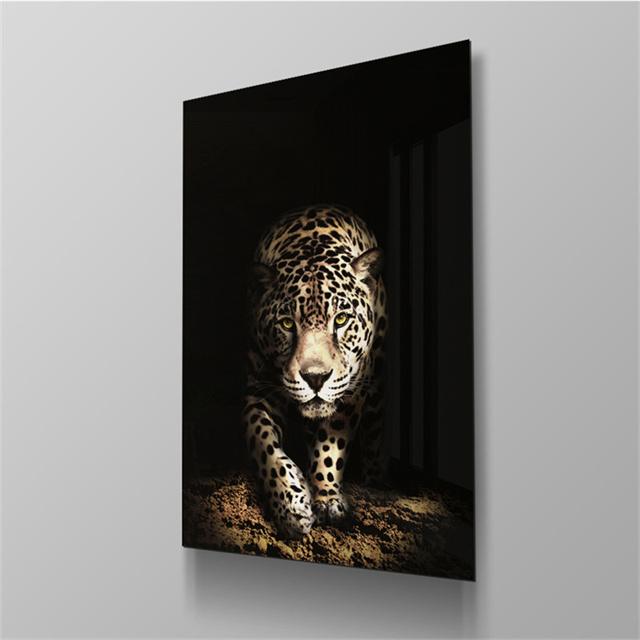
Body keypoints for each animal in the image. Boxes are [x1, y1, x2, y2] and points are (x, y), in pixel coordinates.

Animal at [243, 204, 387, 539]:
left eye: (342, 319)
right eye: (286, 324)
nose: (315, 378)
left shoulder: (351, 391)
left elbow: (331, 444)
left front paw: (326, 498)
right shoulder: (259, 387)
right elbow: (261, 439)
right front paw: (290, 504)